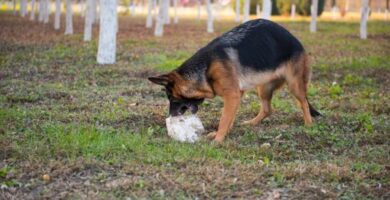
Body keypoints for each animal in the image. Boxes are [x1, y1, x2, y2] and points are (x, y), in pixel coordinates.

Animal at [149, 19, 320, 142]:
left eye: (172, 99)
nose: (171, 116)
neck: (206, 67)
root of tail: (296, 41)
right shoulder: (237, 94)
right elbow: (229, 118)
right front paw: (222, 134)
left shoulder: (232, 96)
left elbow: (224, 119)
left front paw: (218, 140)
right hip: (263, 88)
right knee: (267, 109)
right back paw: (252, 123)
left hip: (294, 85)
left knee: (304, 103)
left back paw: (309, 124)